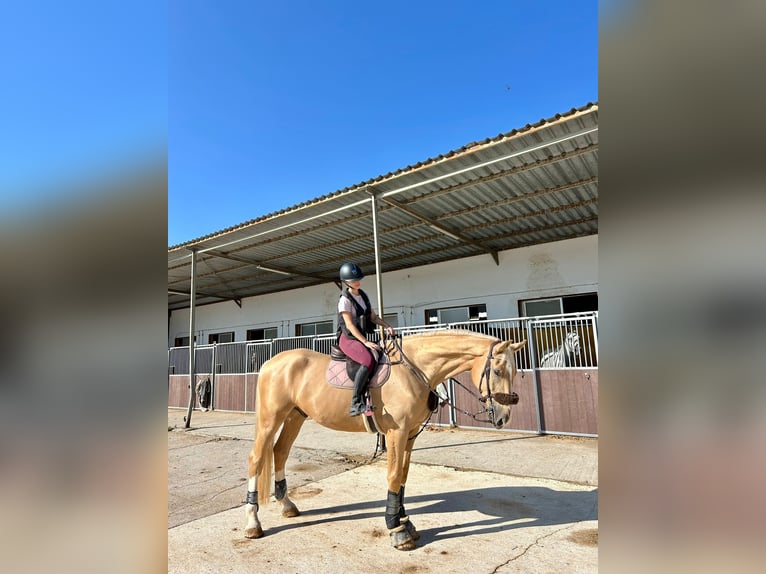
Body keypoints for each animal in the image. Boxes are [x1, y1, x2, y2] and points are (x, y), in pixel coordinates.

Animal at [246, 330, 528, 552]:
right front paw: (397, 530)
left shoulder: (410, 434)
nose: (503, 417)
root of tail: (271, 362)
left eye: (515, 372)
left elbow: (403, 475)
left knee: (280, 452)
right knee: (257, 458)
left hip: (295, 415)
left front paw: (404, 521)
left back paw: (287, 505)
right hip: (271, 418)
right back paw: (252, 523)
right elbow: (393, 475)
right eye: (498, 370)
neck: (415, 371)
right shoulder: (396, 433)